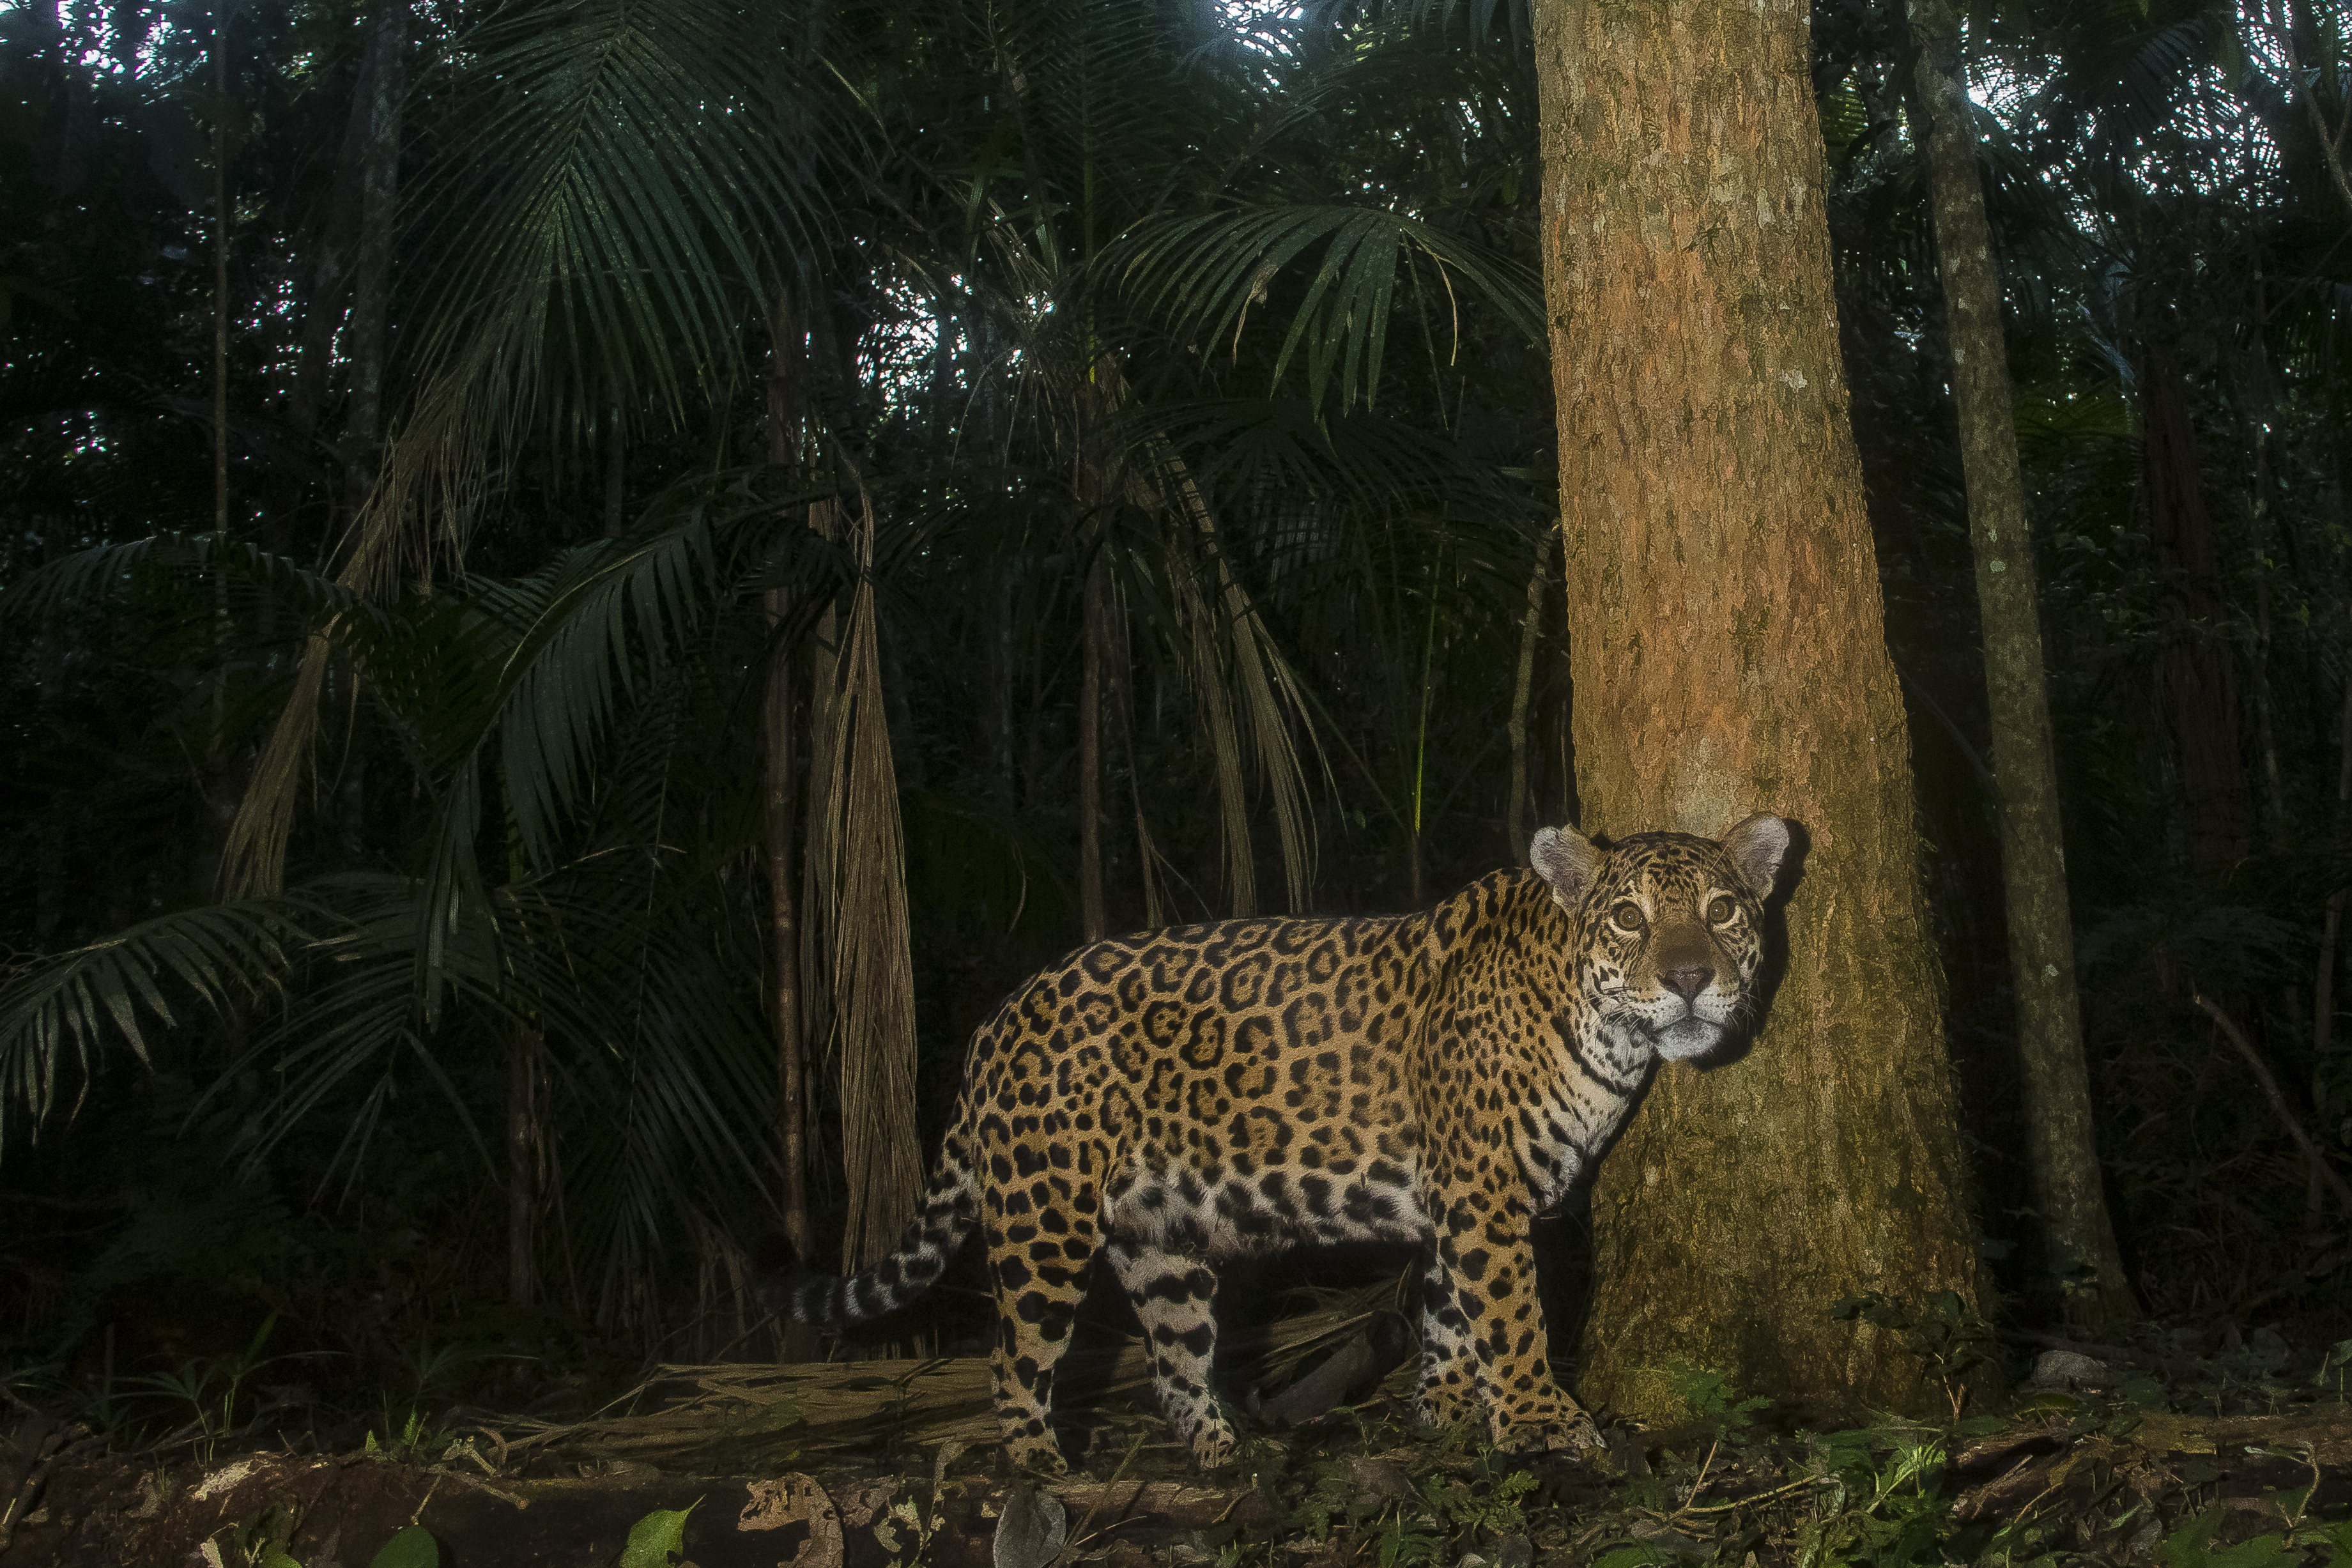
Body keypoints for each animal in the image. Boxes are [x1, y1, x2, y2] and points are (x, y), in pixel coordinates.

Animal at [772, 812, 1790, 1472]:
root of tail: (998, 1019)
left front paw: (1448, 1414)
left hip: (1161, 1241)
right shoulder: (1482, 1193)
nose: (1691, 977)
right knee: (1014, 1358)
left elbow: (1450, 1317)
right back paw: (1041, 1472)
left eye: (1724, 910)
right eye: (1629, 917)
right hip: (1042, 1218)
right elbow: (1511, 1313)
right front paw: (1541, 1422)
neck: (1603, 1029)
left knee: (1173, 1356)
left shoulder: (1456, 1205)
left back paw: (1226, 1456)